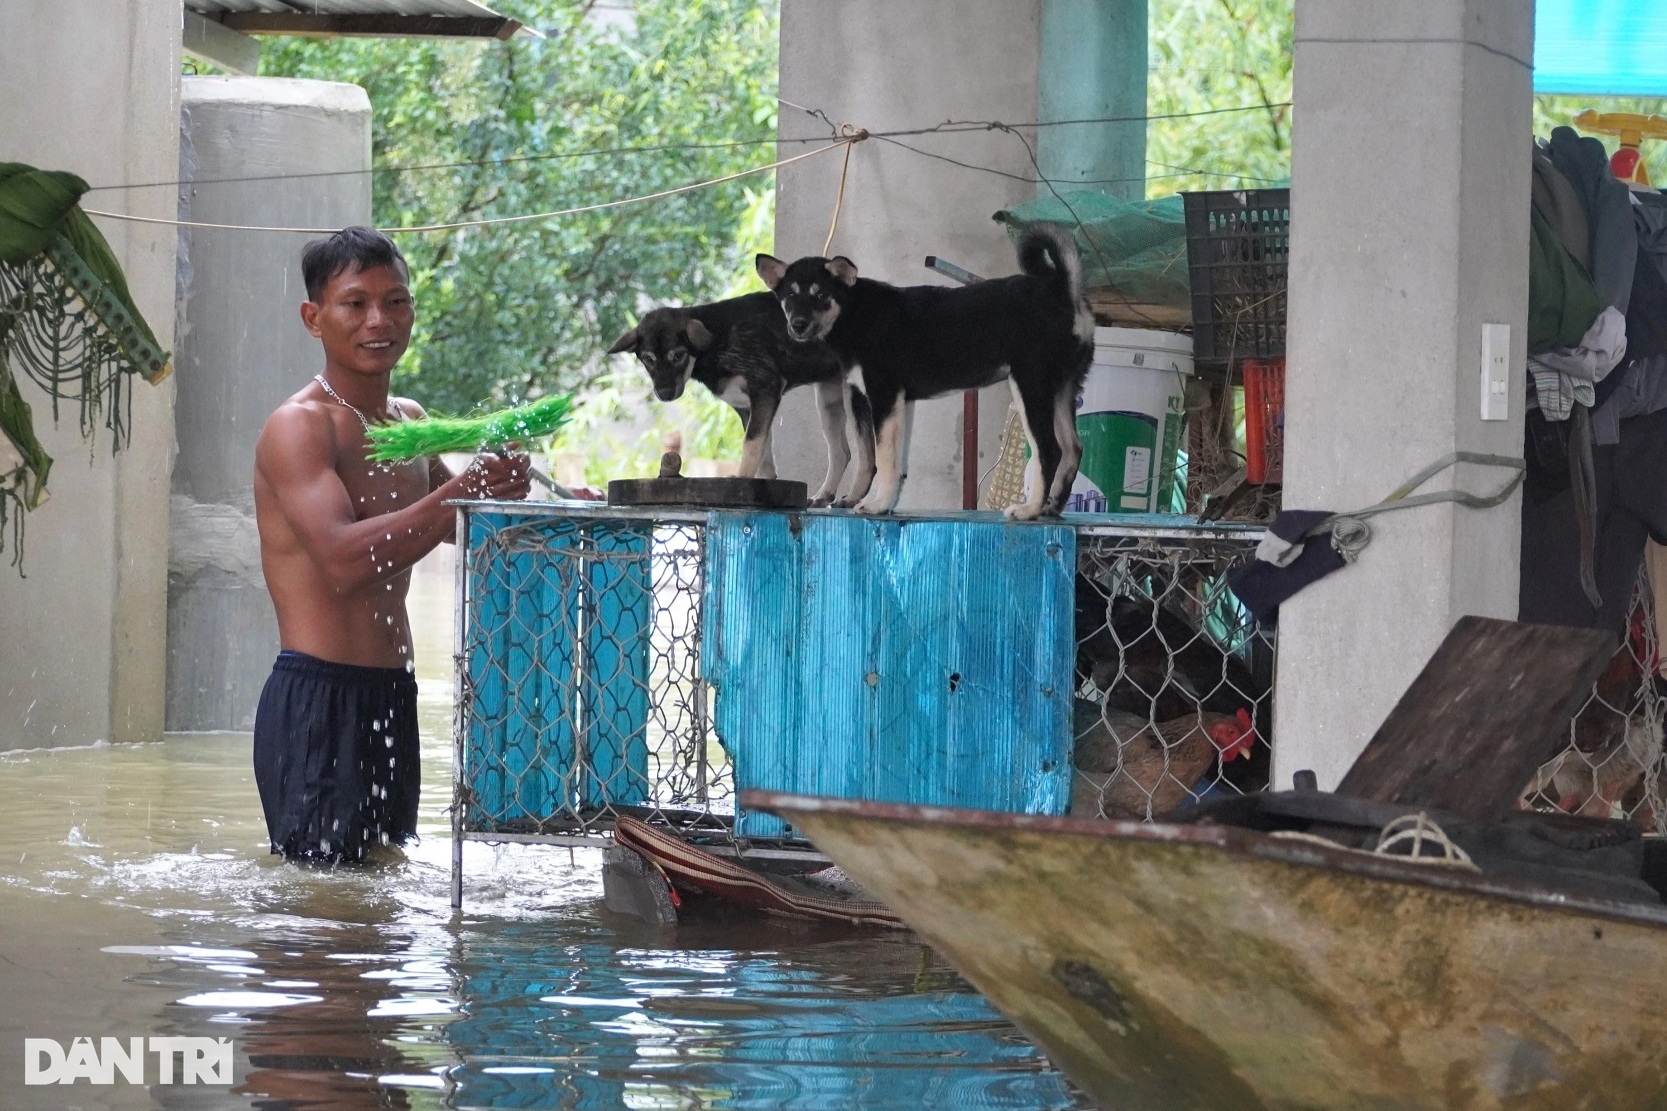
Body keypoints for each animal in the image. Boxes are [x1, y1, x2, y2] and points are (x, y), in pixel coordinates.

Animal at [610, 290, 873, 507]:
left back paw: (853, 498)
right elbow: (763, 452)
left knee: (868, 456)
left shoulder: (765, 391)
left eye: (678, 355)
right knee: (841, 452)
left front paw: (742, 478)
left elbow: (751, 444)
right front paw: (763, 487)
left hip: (855, 398)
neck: (718, 339)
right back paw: (824, 495)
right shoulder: (747, 407)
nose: (664, 394)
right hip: (828, 402)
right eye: (648, 359)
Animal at [756, 226, 1093, 523]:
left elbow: (884, 458)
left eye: (820, 295)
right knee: (1073, 448)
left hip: (1031, 387)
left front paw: (876, 505)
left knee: (1049, 450)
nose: (797, 325)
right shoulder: (903, 402)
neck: (854, 310)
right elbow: (898, 463)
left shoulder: (883, 395)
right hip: (1062, 390)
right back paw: (1051, 507)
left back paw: (1030, 510)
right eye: (789, 296)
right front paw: (887, 503)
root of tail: (1061, 291)